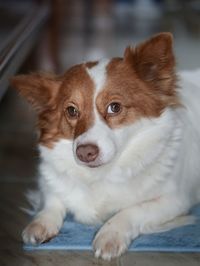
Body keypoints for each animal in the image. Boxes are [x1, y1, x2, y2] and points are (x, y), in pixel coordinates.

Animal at [11, 32, 200, 260]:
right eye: (72, 111)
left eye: (115, 107)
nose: (84, 152)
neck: (102, 173)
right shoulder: (47, 182)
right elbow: (52, 200)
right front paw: (39, 223)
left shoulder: (176, 200)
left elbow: (132, 210)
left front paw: (110, 235)